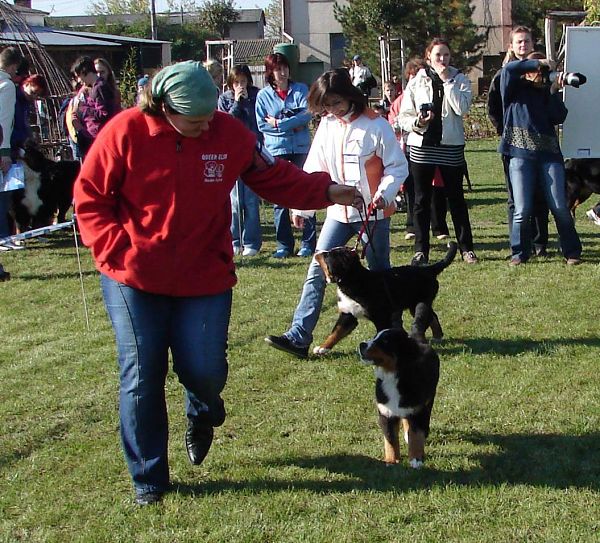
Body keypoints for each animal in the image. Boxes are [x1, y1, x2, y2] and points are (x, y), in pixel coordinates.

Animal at [312, 241, 458, 354]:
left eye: (327, 255)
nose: (317, 251)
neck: (354, 280)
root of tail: (427, 269)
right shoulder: (348, 315)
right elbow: (336, 332)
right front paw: (323, 348)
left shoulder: (381, 317)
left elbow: (380, 335)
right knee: (433, 316)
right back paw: (437, 336)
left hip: (420, 303)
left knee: (427, 317)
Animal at [358, 328, 438, 468]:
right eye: (374, 337)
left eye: (385, 341)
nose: (362, 345)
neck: (392, 376)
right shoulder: (386, 413)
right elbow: (391, 439)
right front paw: (391, 460)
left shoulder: (417, 410)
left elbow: (416, 436)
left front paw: (416, 460)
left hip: (428, 401)